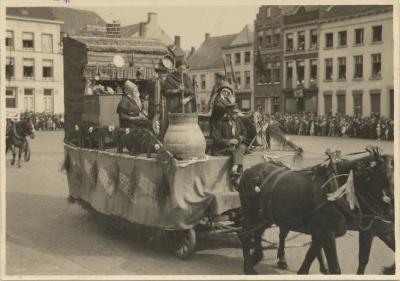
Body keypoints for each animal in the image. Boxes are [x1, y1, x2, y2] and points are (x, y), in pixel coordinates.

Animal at [238, 145, 394, 272]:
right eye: (384, 176)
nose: (392, 214)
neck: (338, 187)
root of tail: (248, 170)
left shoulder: (323, 234)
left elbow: (310, 257)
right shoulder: (328, 234)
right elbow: (336, 267)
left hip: (267, 215)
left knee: (261, 232)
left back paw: (260, 256)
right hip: (251, 212)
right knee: (246, 233)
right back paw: (249, 267)